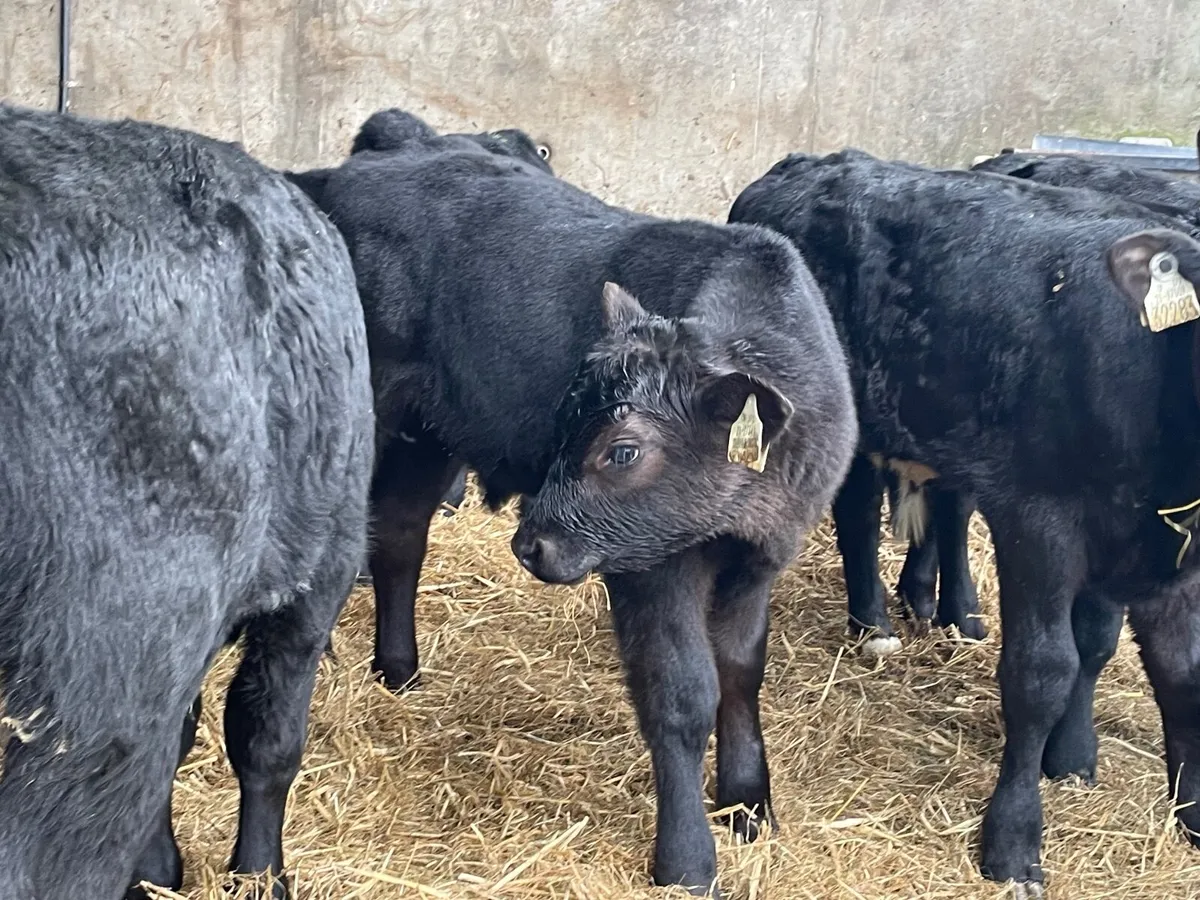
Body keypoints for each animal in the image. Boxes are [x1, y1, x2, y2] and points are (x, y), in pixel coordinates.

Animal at [290, 108, 858, 897]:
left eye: (622, 450)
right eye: (564, 421)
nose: (531, 544)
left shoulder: (760, 559)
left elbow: (742, 672)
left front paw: (748, 802)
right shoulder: (652, 569)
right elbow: (682, 693)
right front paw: (687, 858)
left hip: (426, 433)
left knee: (400, 534)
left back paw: (398, 671)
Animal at [726, 148, 1200, 897]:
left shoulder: (1165, 540)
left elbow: (1165, 665)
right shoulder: (1041, 518)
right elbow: (1042, 670)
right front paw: (1013, 841)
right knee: (854, 506)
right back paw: (875, 624)